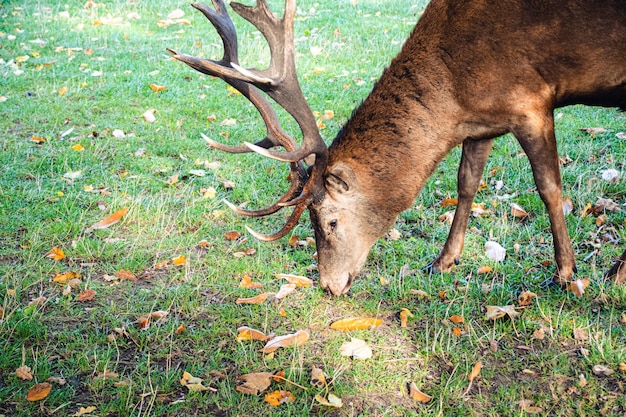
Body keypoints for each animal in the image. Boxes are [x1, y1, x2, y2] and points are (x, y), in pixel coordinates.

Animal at [167, 0, 624, 294]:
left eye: (329, 221)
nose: (329, 286)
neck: (458, 87)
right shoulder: (482, 121)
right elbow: (466, 183)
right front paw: (442, 262)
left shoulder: (532, 103)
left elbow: (549, 188)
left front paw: (564, 273)